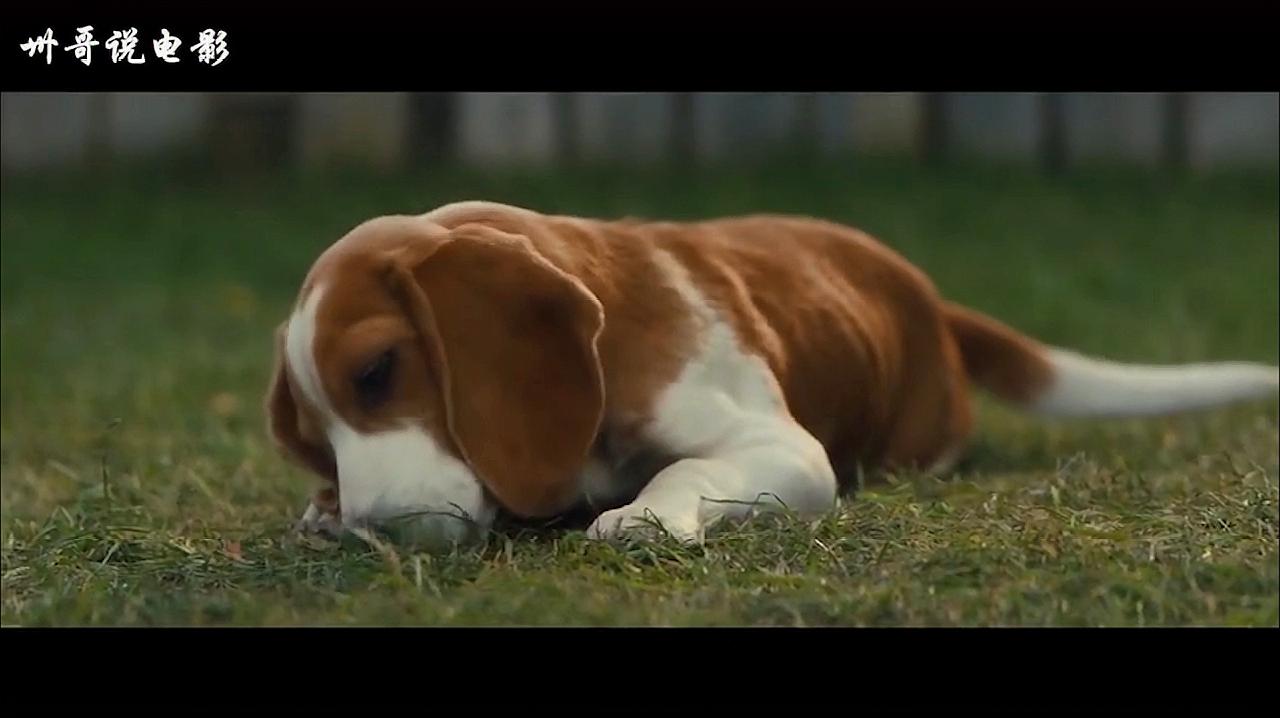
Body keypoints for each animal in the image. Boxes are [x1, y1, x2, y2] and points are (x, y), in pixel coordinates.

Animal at [264, 202, 1274, 542]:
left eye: (378, 370)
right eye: (313, 440)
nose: (375, 532)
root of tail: (934, 304)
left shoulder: (779, 449)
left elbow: (683, 471)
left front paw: (642, 518)